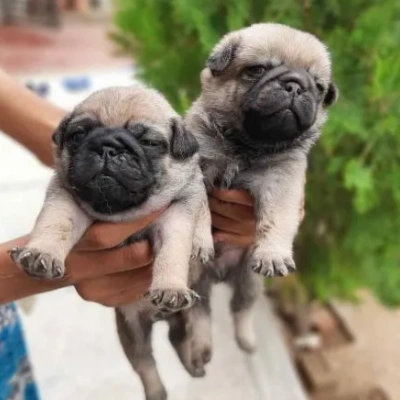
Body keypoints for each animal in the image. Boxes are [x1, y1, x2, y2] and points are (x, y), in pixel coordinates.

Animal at [8, 84, 212, 400]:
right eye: (78, 135)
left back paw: (197, 354)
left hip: (194, 300)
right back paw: (160, 389)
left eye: (149, 142)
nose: (107, 147)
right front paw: (42, 253)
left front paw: (170, 287)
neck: (121, 210)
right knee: (147, 361)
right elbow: (56, 224)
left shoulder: (176, 215)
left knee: (195, 323)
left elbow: (173, 251)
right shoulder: (65, 198)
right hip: (131, 332)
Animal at [168, 22, 338, 378]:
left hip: (249, 282)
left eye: (318, 87)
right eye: (256, 70)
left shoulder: (282, 181)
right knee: (199, 314)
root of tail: (219, 276)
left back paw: (245, 340)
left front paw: (274, 253)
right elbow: (200, 211)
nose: (295, 85)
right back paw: (202, 348)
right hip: (195, 281)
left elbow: (277, 220)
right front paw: (200, 240)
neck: (247, 144)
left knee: (240, 309)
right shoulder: (196, 170)